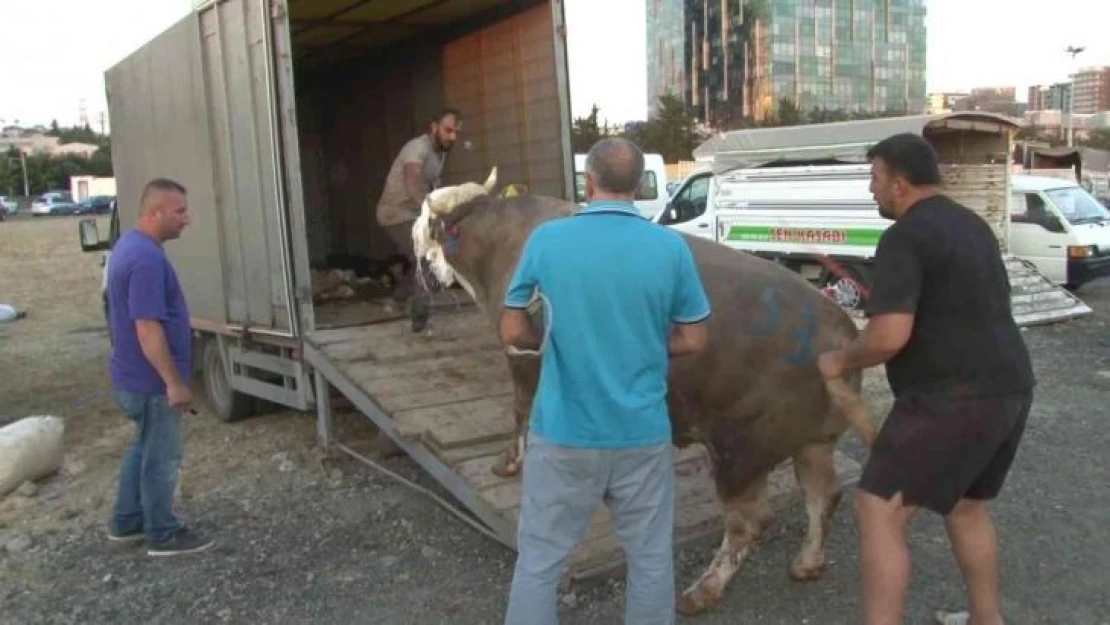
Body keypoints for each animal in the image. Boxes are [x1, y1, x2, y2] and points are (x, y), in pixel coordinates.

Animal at [410, 168, 874, 617]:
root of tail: (837, 330)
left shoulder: (523, 354)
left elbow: (522, 411)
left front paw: (508, 464)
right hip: (812, 441)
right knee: (823, 496)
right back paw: (807, 563)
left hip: (741, 449)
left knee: (750, 523)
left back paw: (703, 590)